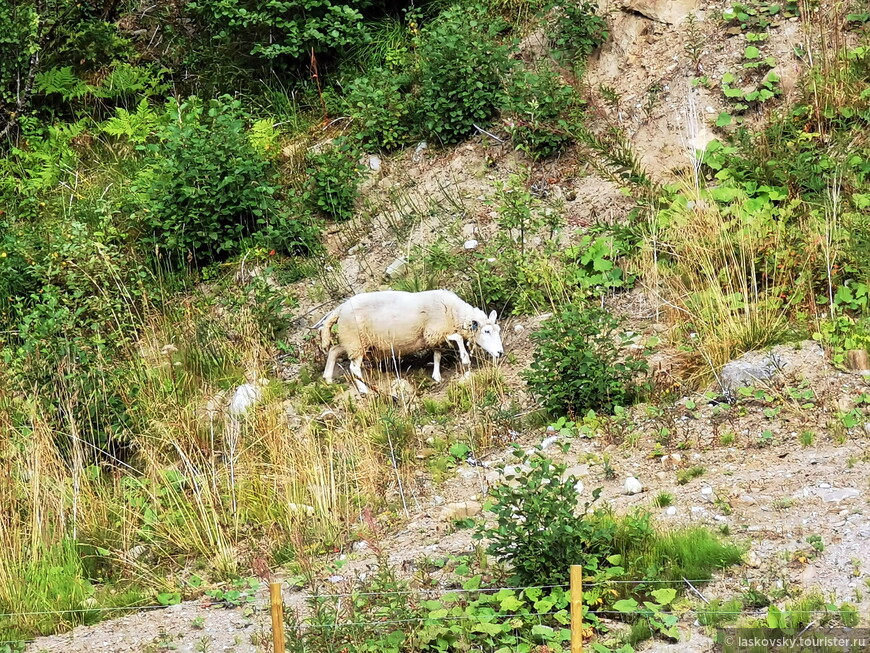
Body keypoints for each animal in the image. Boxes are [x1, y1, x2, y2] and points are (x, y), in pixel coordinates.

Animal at [314, 290, 504, 392]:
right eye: (486, 331)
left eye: (498, 330)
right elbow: (456, 338)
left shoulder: (433, 338)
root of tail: (340, 308)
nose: (500, 353)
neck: (452, 312)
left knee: (334, 350)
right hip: (356, 340)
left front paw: (436, 376)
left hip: (354, 341)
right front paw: (465, 358)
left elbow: (437, 355)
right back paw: (364, 390)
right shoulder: (435, 331)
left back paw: (328, 378)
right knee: (354, 368)